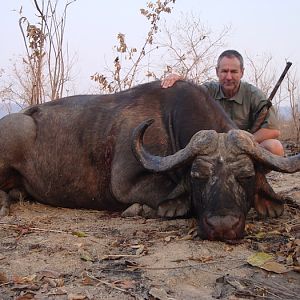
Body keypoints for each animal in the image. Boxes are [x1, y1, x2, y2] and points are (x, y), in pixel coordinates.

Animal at [0, 81, 298, 240]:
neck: (169, 121)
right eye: (197, 177)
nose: (222, 227)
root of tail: (25, 116)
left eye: (246, 177)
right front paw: (141, 209)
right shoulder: (126, 184)